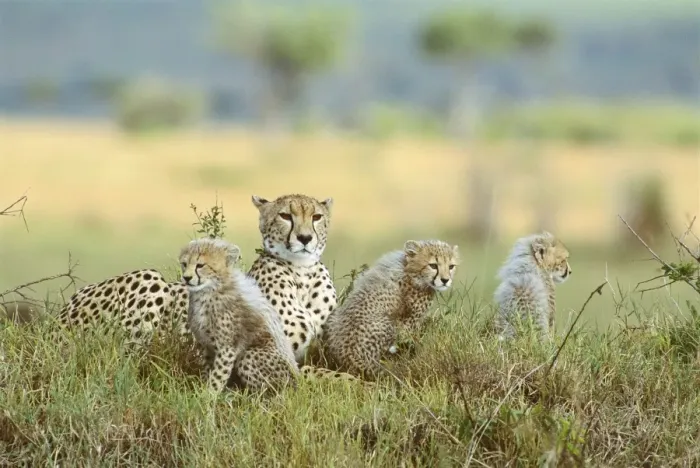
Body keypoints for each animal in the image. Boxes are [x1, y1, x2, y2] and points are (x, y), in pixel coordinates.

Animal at [179, 237, 298, 394]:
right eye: (184, 264)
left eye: (200, 265)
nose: (186, 277)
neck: (209, 291)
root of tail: (299, 382)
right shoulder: (209, 346)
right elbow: (208, 370)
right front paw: (203, 388)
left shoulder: (227, 348)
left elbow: (218, 375)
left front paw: (209, 395)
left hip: (250, 356)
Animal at [321, 239, 460, 380]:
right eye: (433, 265)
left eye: (451, 266)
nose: (445, 280)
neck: (409, 271)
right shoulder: (408, 321)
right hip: (388, 325)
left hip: (333, 318)